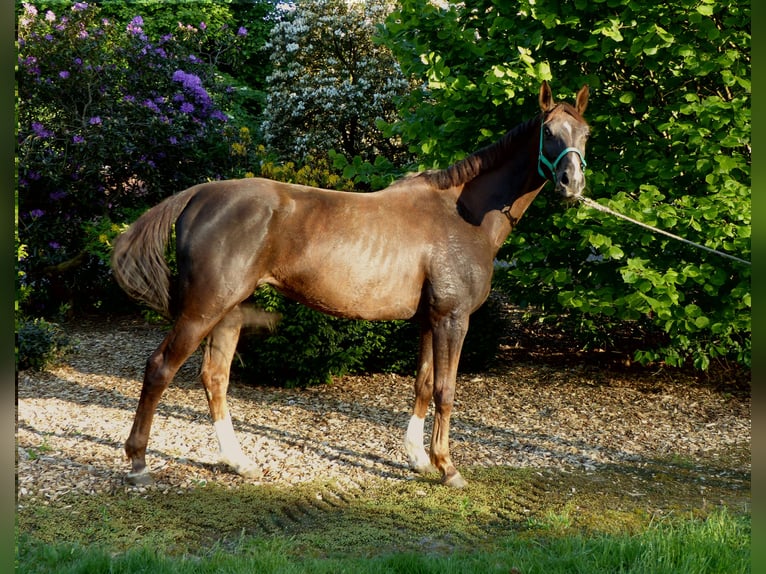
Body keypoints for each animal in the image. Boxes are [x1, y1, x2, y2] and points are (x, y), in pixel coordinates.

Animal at [111, 81, 592, 488]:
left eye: (585, 133)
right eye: (549, 131)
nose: (572, 183)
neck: (462, 215)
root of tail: (197, 194)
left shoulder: (427, 320)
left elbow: (422, 384)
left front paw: (418, 459)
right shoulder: (452, 319)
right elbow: (445, 390)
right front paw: (446, 467)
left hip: (227, 314)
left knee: (215, 378)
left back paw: (238, 461)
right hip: (201, 311)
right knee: (160, 369)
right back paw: (138, 463)